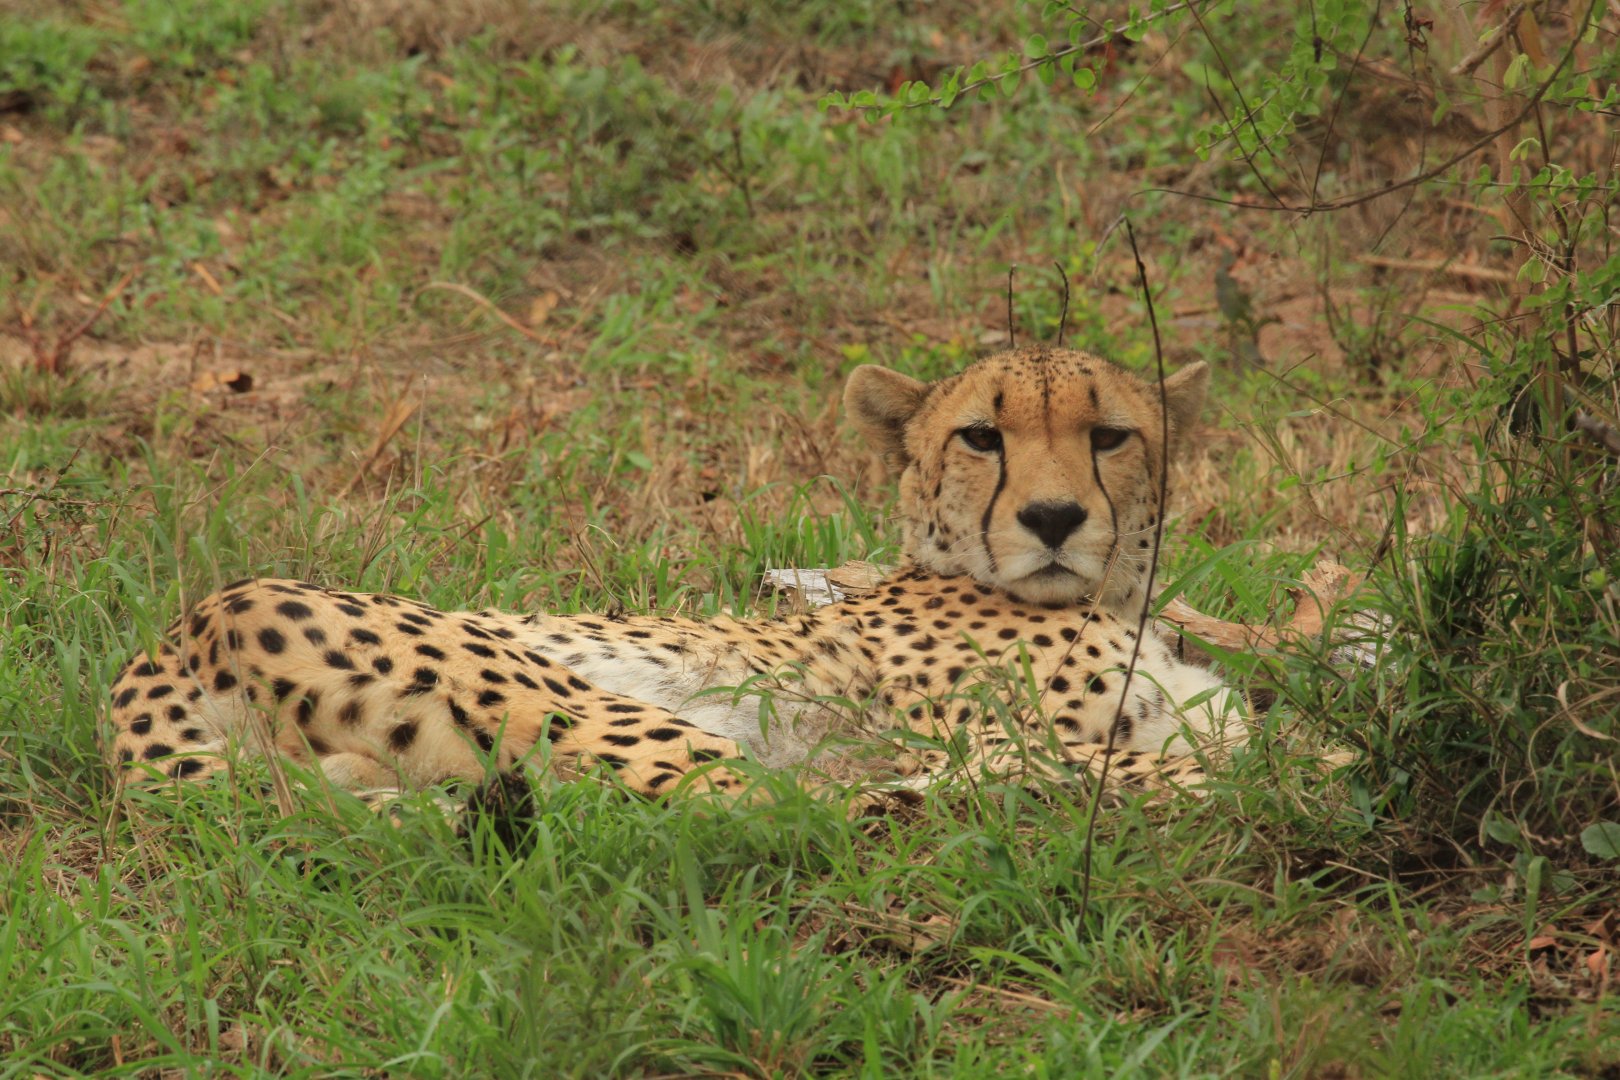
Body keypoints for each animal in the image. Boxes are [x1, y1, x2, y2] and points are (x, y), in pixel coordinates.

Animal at [106, 345, 1243, 808]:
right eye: (981, 437)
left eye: (1110, 437)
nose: (1054, 519)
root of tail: (171, 640)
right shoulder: (988, 730)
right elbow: (1210, 760)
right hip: (569, 702)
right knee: (778, 808)